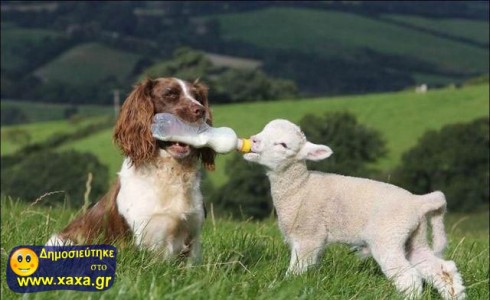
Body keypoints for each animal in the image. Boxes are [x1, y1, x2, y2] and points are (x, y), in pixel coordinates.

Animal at [46, 77, 214, 260]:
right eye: (169, 94)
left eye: (197, 97)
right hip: (61, 242)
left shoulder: (192, 236)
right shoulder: (140, 237)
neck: (170, 172)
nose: (200, 111)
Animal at [245, 119, 468, 300]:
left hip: (388, 237)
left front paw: (283, 287)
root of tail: (418, 202)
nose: (253, 141)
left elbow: (297, 270)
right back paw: (455, 295)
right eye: (263, 130)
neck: (300, 188)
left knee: (409, 277)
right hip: (414, 238)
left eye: (283, 145)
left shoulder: (309, 235)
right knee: (443, 269)